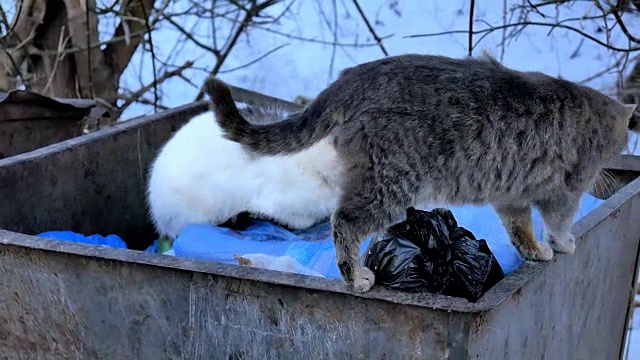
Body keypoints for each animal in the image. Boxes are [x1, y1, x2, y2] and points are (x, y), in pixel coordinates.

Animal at [208, 54, 636, 294]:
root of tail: (350, 79)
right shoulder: (565, 190)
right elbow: (559, 222)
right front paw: (562, 243)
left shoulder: (511, 194)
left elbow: (520, 229)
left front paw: (533, 249)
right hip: (389, 183)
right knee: (343, 221)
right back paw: (354, 275)